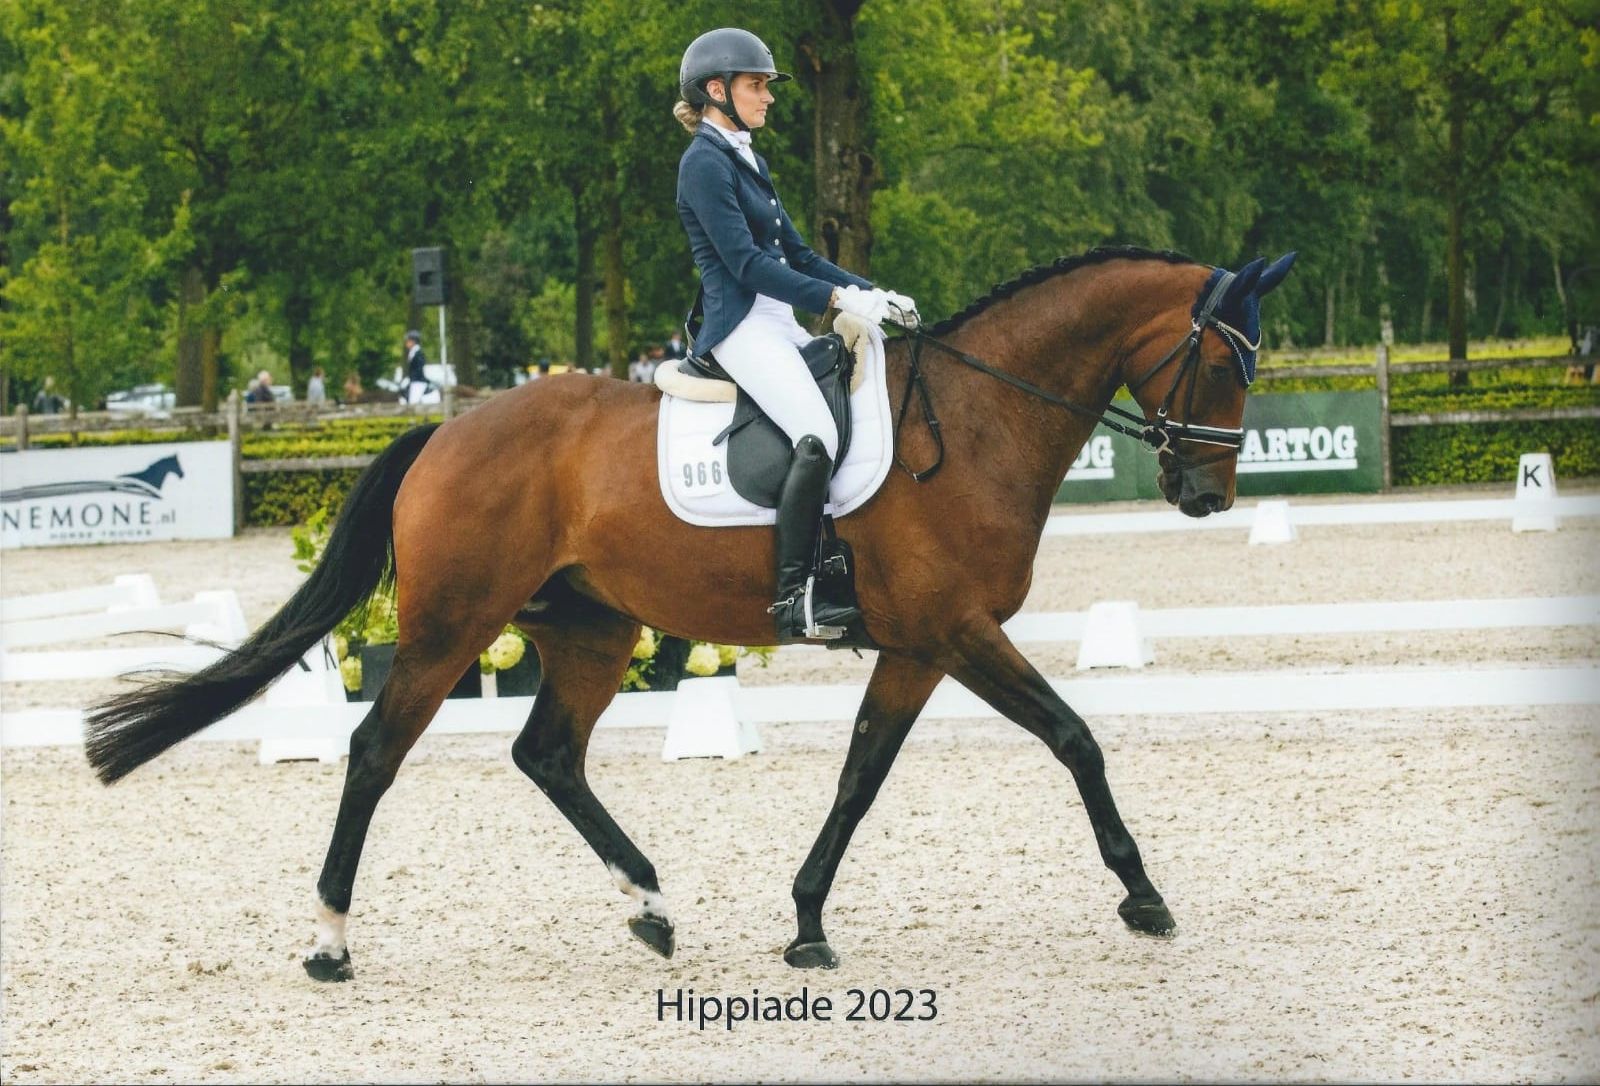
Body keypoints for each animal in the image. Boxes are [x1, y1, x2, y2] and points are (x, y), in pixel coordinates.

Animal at [84, 245, 1297, 981]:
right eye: (1225, 366)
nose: (1209, 494)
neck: (977, 418)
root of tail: (447, 429)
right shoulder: (958, 632)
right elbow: (1074, 737)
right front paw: (1144, 897)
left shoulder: (916, 644)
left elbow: (860, 776)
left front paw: (806, 924)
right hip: (450, 628)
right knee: (377, 749)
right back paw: (332, 941)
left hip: (588, 629)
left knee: (548, 754)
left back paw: (651, 904)